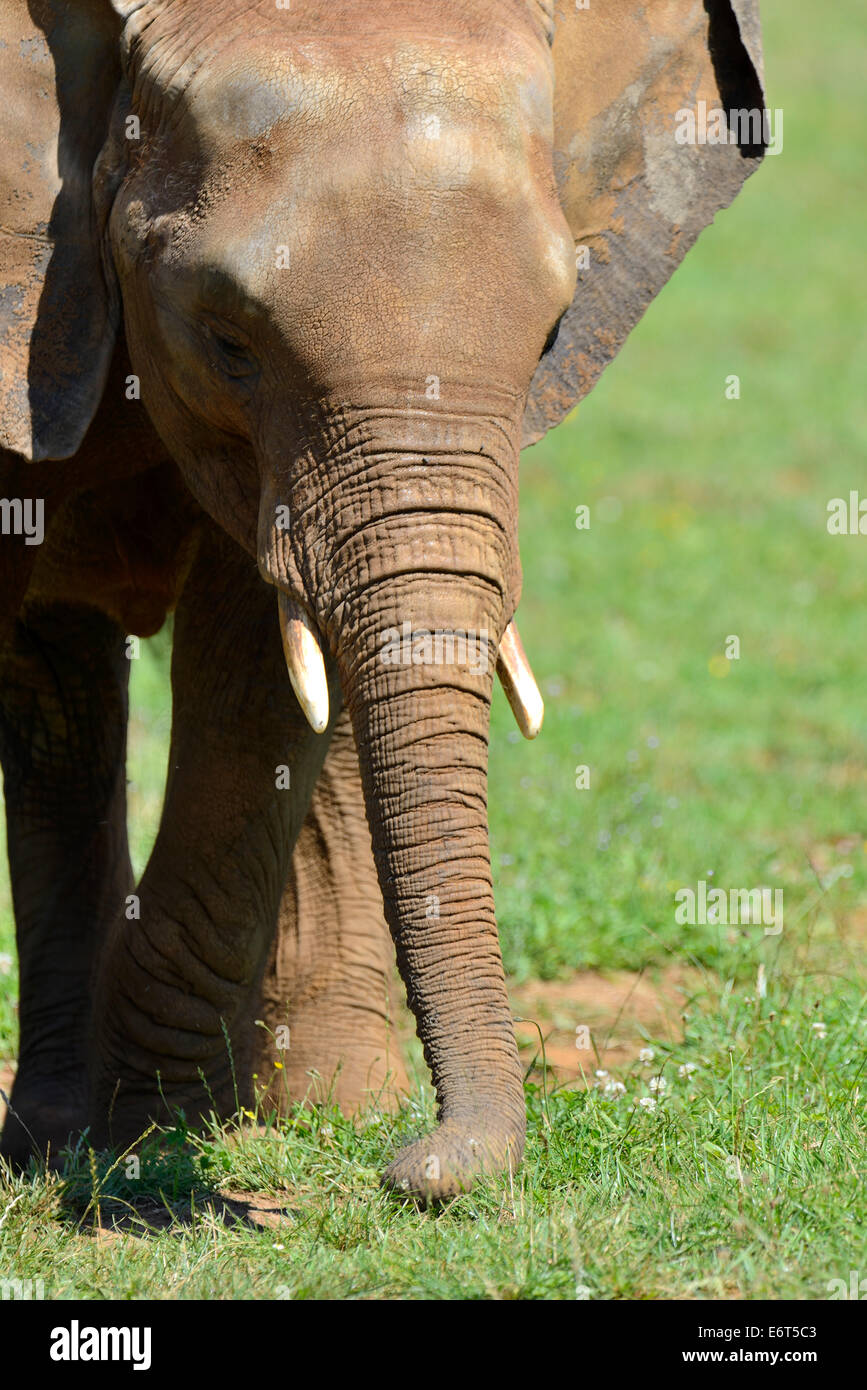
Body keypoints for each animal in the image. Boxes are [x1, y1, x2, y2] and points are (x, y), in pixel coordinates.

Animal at [0, 0, 761, 1200]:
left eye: (554, 334)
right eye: (225, 338)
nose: (424, 1167)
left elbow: (257, 673)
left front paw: (158, 1128)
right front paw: (135, 1136)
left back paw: (311, 1102)